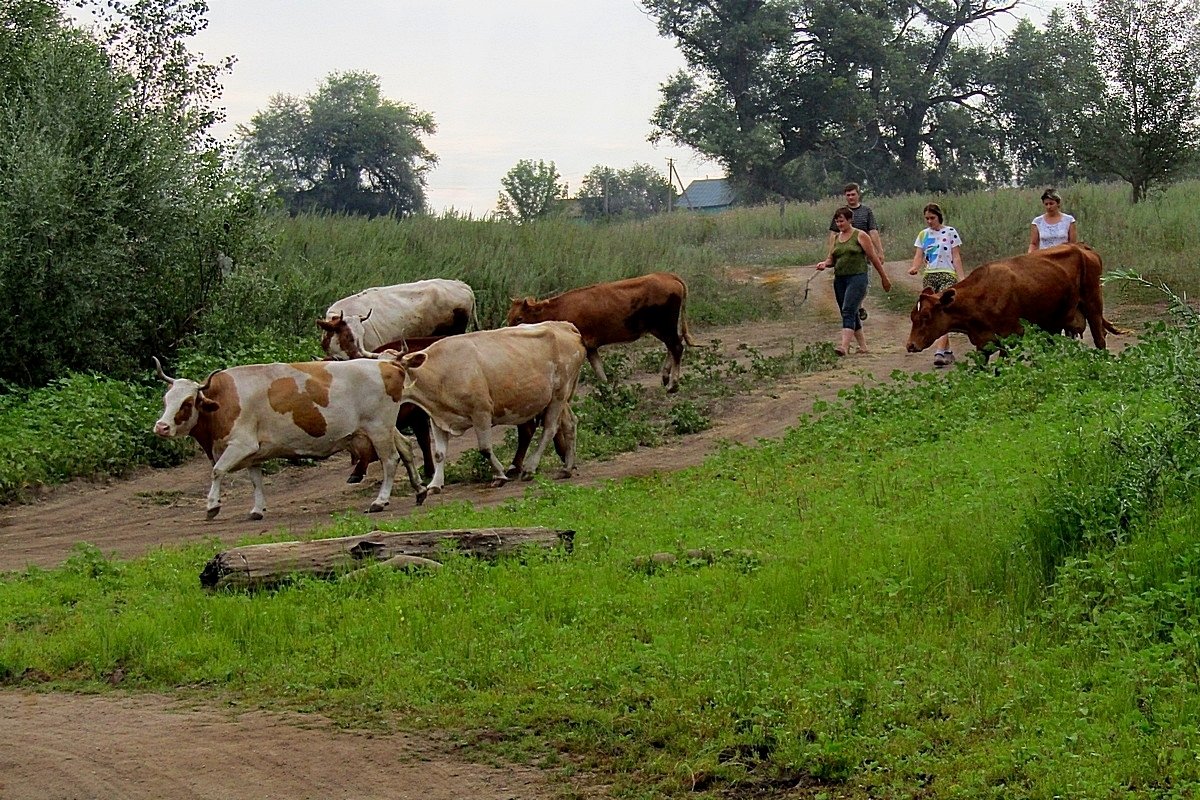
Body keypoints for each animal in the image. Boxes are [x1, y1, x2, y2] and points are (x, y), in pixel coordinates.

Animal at [152, 355, 429, 520]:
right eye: (166, 399)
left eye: (187, 403)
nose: (161, 427)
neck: (224, 400)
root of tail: (387, 363)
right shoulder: (253, 453)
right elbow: (256, 481)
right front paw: (257, 510)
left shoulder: (241, 444)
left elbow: (217, 471)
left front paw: (212, 506)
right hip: (385, 427)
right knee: (405, 448)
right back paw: (419, 490)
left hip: (378, 429)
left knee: (390, 460)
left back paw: (380, 501)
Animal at [393, 321, 585, 491]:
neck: (439, 372)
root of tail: (565, 326)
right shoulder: (437, 418)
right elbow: (439, 454)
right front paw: (435, 484)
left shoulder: (481, 411)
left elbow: (485, 448)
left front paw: (499, 476)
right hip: (560, 397)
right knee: (570, 423)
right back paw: (567, 468)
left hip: (559, 394)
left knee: (550, 428)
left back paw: (530, 468)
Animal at [506, 271, 696, 393]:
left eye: (519, 318)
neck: (558, 311)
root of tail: (667, 276)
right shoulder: (591, 347)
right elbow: (599, 371)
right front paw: (606, 391)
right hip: (663, 328)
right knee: (674, 346)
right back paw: (665, 377)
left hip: (664, 326)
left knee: (676, 347)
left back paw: (672, 385)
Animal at [902, 242, 1118, 355]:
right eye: (912, 317)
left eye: (926, 316)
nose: (910, 345)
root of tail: (1080, 246)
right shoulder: (983, 343)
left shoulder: (1009, 338)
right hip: (1052, 323)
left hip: (1093, 304)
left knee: (1099, 339)